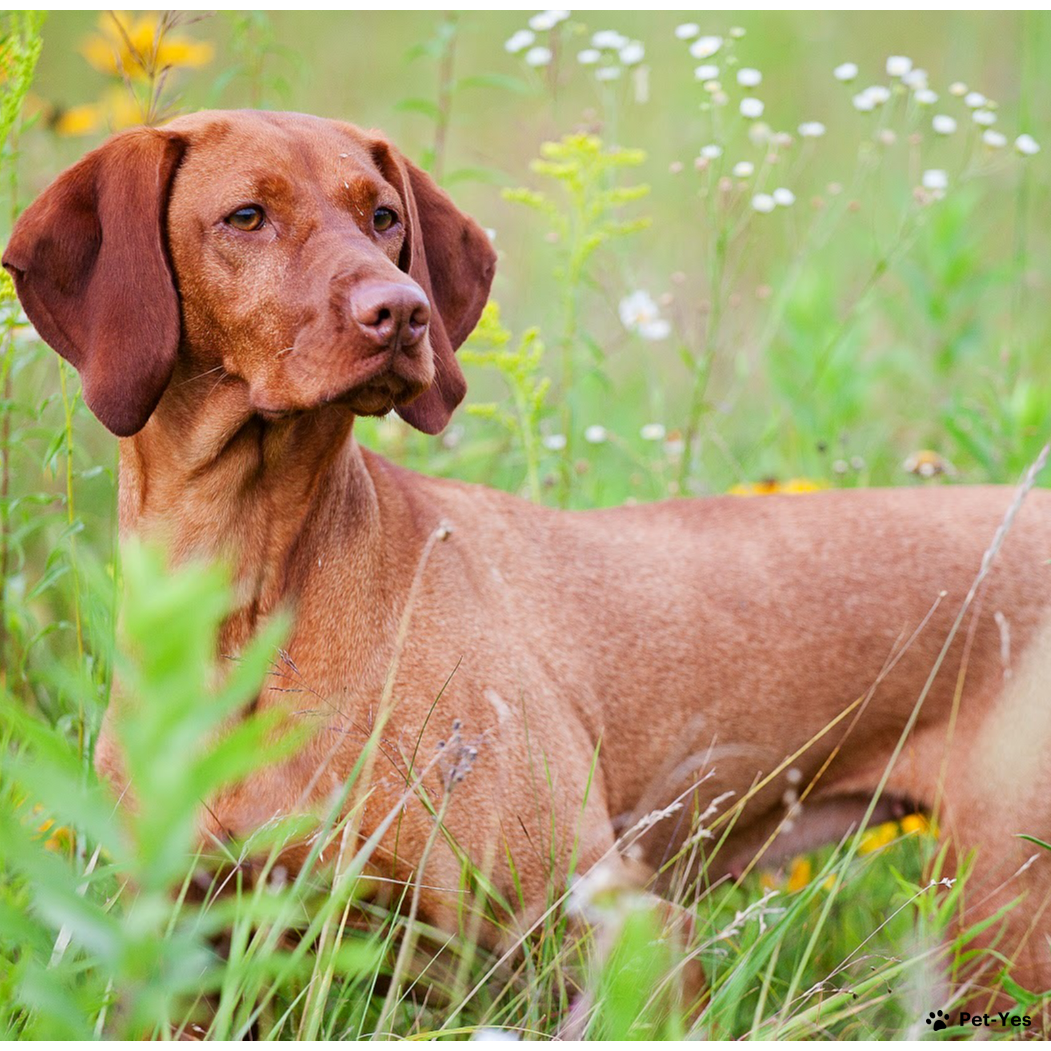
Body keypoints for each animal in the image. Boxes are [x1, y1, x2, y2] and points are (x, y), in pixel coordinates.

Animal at [8, 108, 1051, 1008]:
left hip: (1005, 917)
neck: (246, 593)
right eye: (246, 217)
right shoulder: (190, 950)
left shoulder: (624, 926)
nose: (403, 312)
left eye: (383, 216)